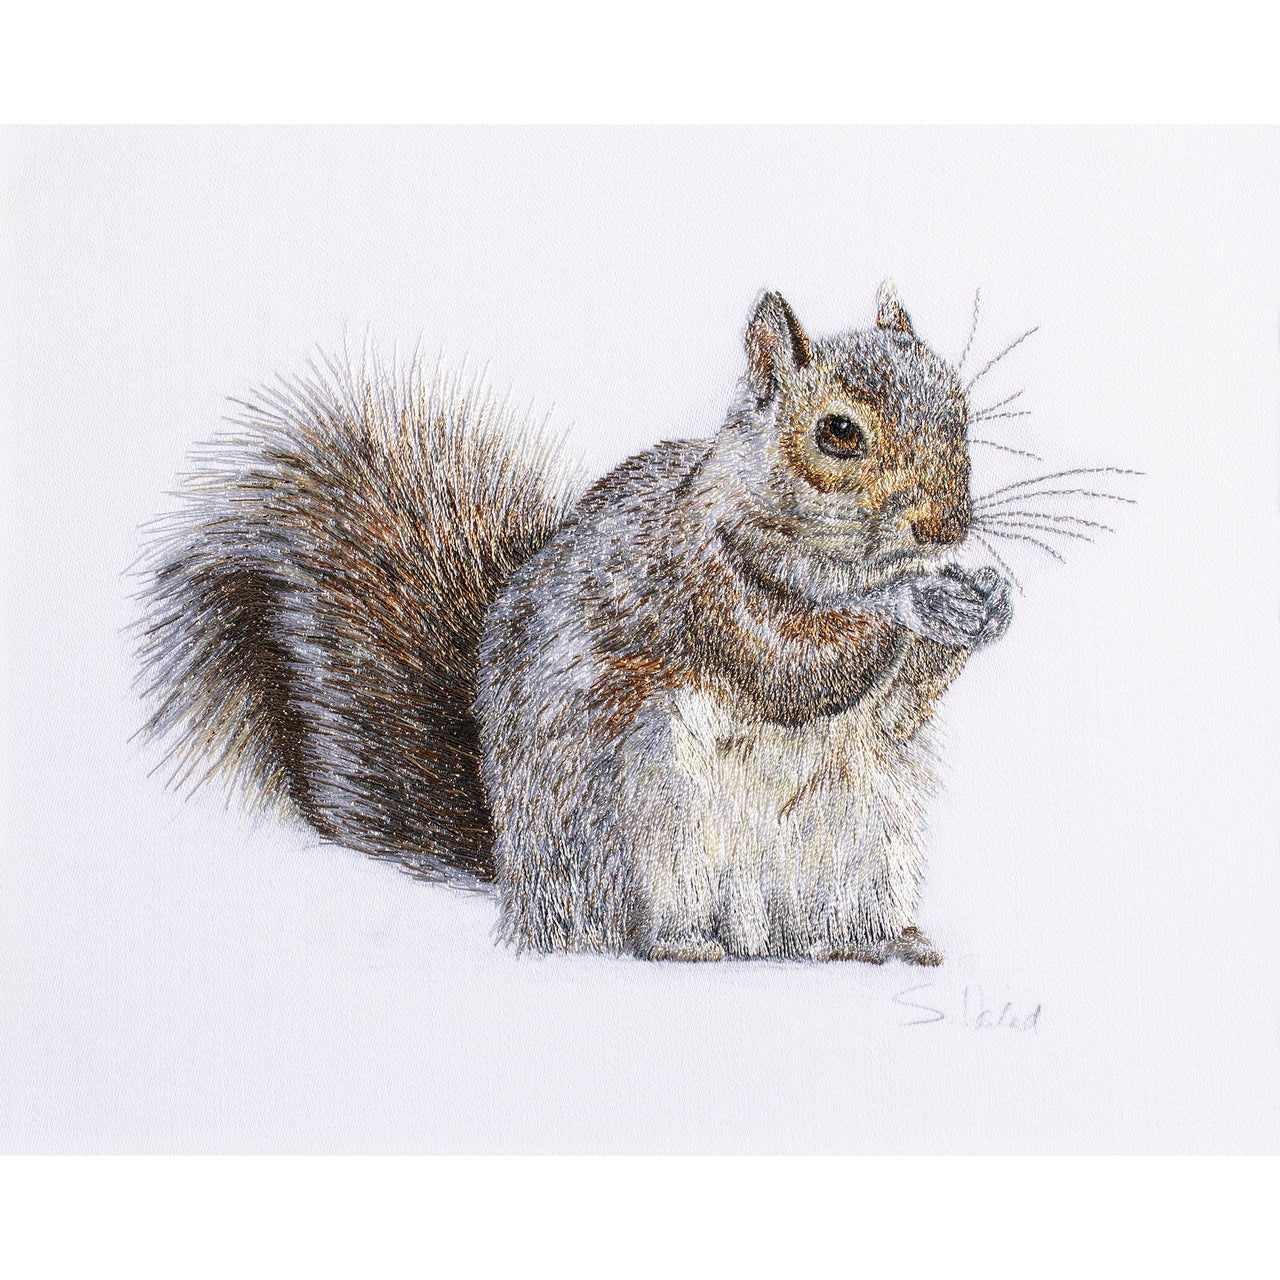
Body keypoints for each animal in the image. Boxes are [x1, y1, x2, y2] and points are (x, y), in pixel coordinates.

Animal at [137, 282, 1018, 964]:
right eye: (838, 431)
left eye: (959, 406)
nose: (948, 526)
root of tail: (523, 884)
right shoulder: (700, 585)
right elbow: (792, 667)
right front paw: (909, 601)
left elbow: (898, 709)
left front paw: (990, 598)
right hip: (646, 823)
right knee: (630, 927)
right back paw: (682, 944)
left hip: (863, 842)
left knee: (824, 929)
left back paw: (881, 942)